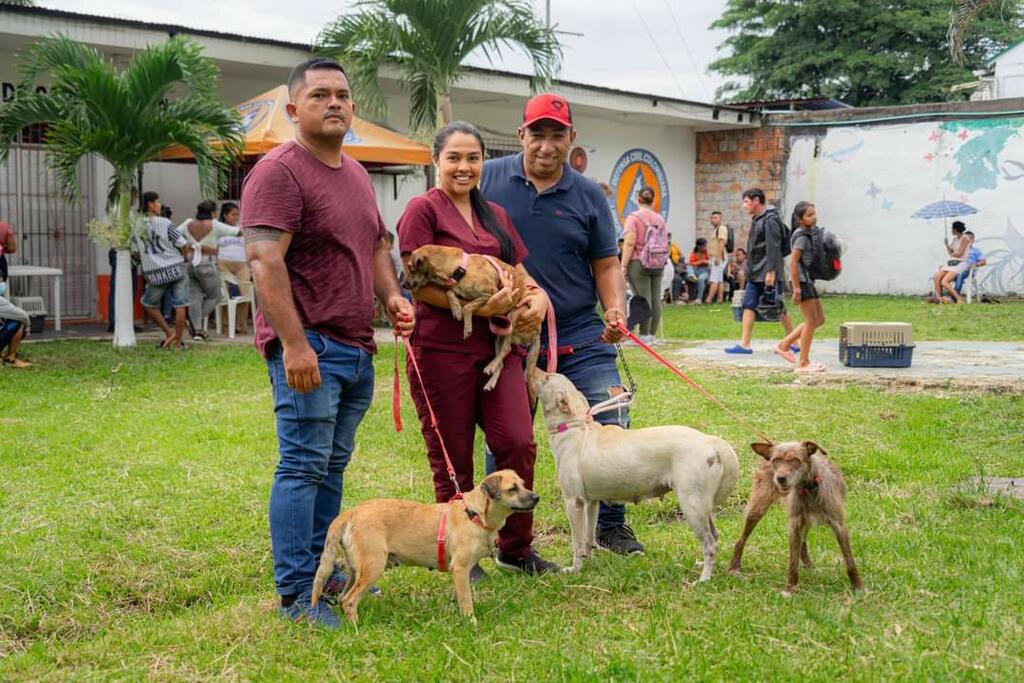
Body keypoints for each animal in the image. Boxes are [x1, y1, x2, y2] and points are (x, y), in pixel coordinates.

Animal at [309, 471, 536, 626]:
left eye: (523, 485)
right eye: (512, 489)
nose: (536, 497)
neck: (474, 514)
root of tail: (350, 513)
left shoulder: (458, 574)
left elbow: (460, 596)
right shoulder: (461, 569)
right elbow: (466, 600)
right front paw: (471, 621)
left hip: (356, 570)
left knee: (343, 597)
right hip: (373, 567)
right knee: (349, 600)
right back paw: (357, 628)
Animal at [403, 245, 544, 393]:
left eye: (411, 268)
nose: (404, 284)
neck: (459, 268)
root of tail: (537, 332)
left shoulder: (491, 294)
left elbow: (467, 307)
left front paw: (467, 327)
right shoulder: (459, 290)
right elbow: (450, 292)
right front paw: (456, 308)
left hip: (514, 314)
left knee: (507, 349)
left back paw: (490, 366)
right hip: (499, 336)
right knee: (501, 361)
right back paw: (491, 379)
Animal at [532, 368, 741, 581]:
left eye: (547, 377)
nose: (532, 368)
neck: (575, 426)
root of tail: (710, 441)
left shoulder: (573, 502)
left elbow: (577, 541)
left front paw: (574, 569)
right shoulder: (591, 503)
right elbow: (588, 537)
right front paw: (588, 562)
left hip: (692, 504)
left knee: (710, 543)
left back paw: (703, 579)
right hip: (702, 506)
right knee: (715, 536)